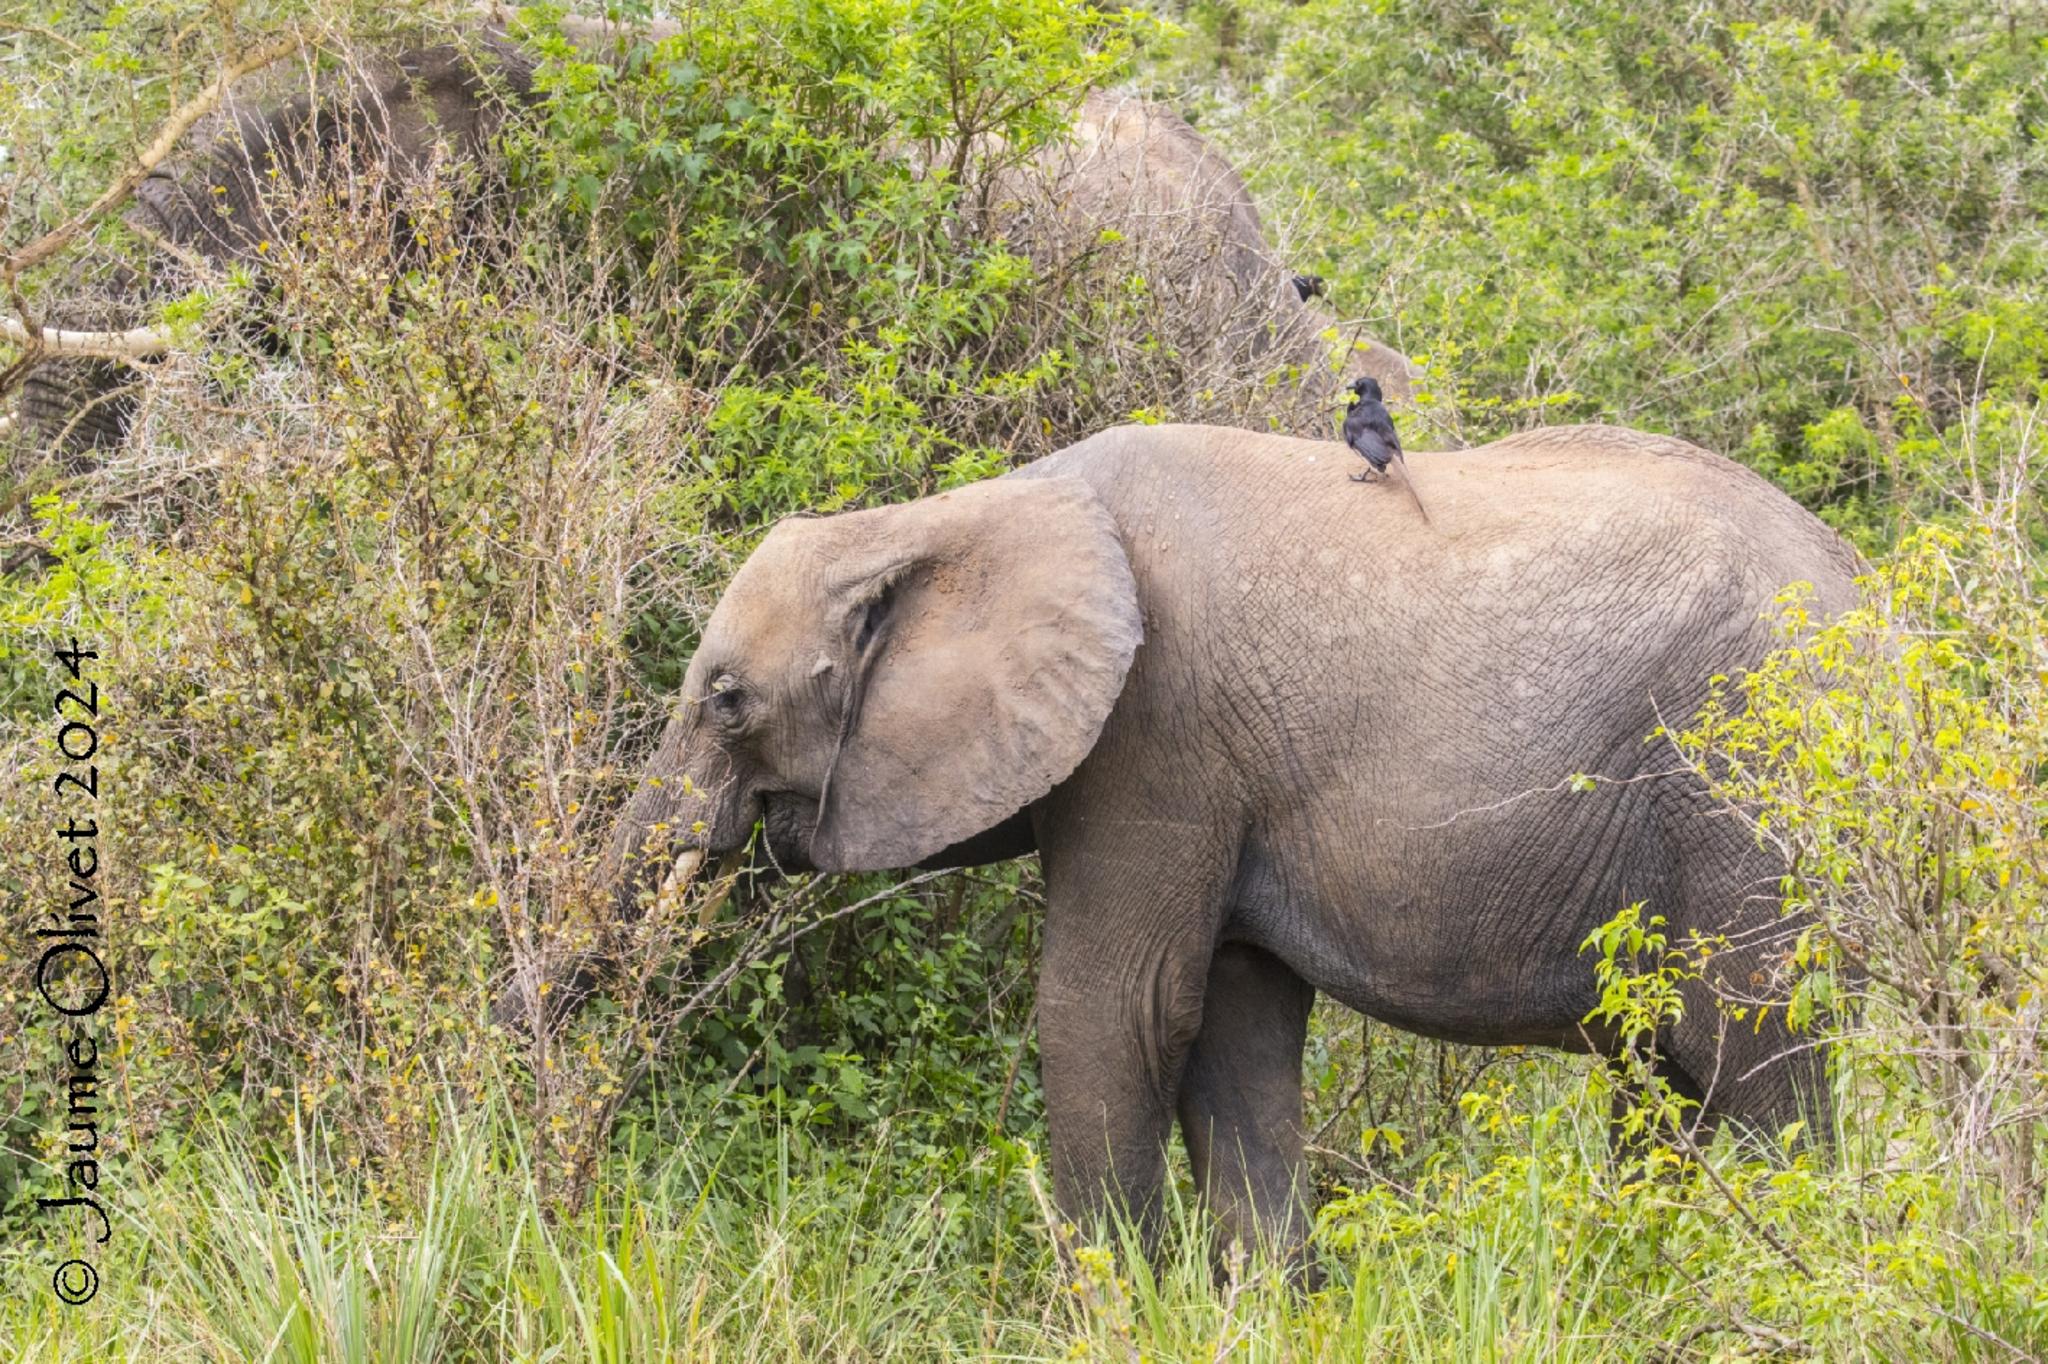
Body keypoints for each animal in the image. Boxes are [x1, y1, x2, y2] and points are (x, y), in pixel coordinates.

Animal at [610, 419, 1875, 1245]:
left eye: (726, 697)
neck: (968, 511)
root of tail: (1877, 597)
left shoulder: (1156, 730)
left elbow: (1115, 1010)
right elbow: (1231, 1024)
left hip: (1754, 789)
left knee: (1756, 1059)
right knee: (1663, 1075)